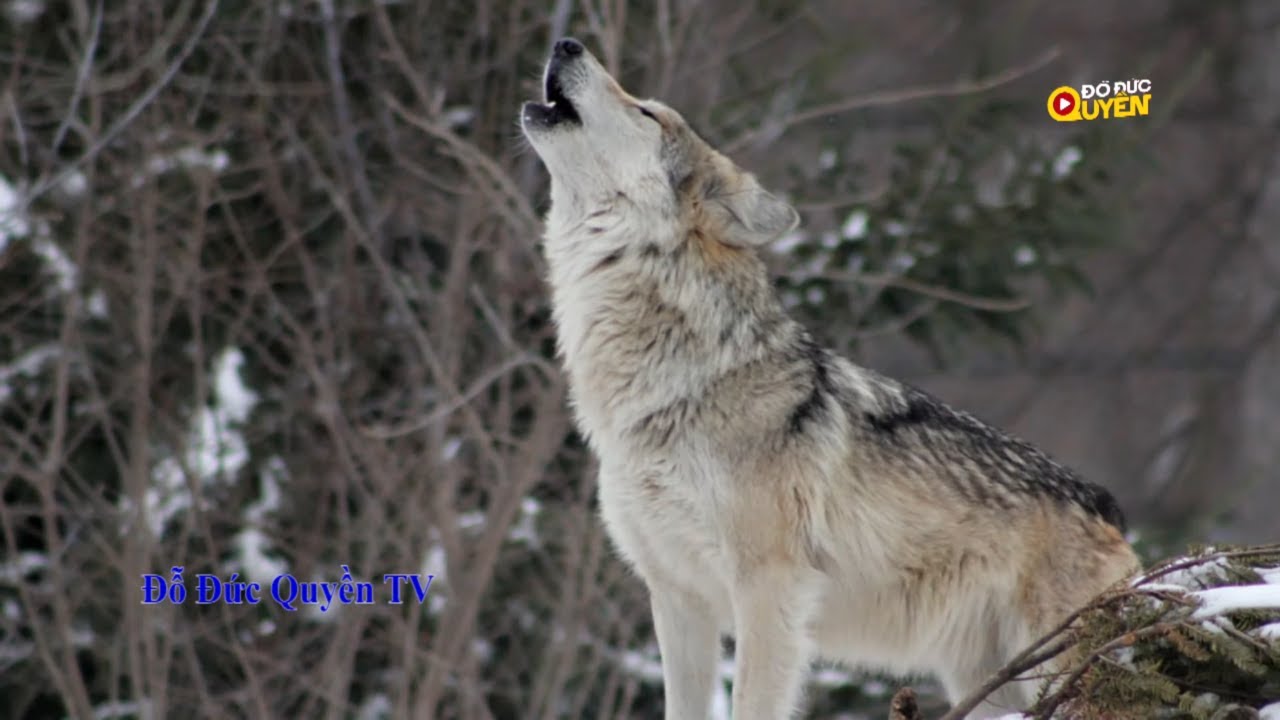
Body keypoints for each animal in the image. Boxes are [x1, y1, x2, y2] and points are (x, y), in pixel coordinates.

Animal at [519, 39, 1141, 717]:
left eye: (647, 112)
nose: (566, 43)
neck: (678, 381)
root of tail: (1110, 507)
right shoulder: (678, 600)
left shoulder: (768, 589)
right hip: (987, 681)